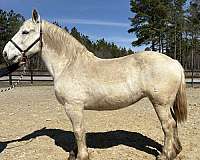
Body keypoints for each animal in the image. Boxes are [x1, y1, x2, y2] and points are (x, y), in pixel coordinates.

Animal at [3, 9, 188, 159]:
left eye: (25, 32)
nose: (5, 53)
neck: (68, 64)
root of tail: (174, 62)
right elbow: (79, 131)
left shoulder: (73, 107)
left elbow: (78, 131)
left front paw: (82, 156)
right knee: (173, 123)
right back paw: (176, 150)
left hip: (160, 103)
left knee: (168, 125)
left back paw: (165, 155)